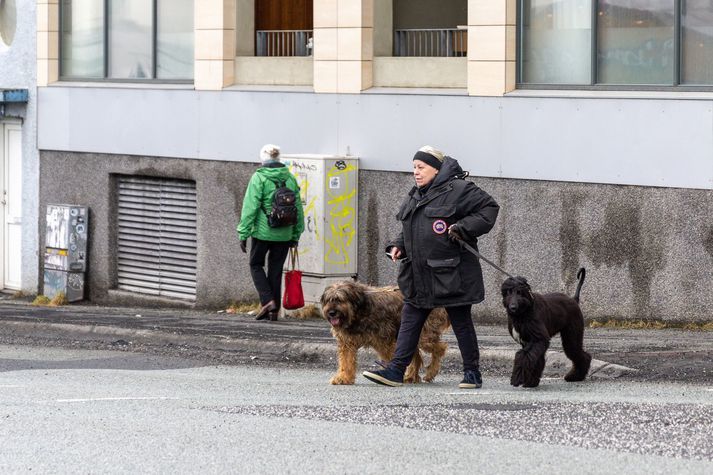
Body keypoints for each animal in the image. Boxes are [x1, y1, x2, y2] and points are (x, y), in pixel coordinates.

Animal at [320, 280, 448, 384]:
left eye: (340, 300)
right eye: (328, 300)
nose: (332, 313)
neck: (358, 312)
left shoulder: (385, 342)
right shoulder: (347, 343)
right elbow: (346, 362)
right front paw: (343, 378)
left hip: (423, 334)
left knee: (440, 348)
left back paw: (431, 372)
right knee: (417, 356)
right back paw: (411, 377)